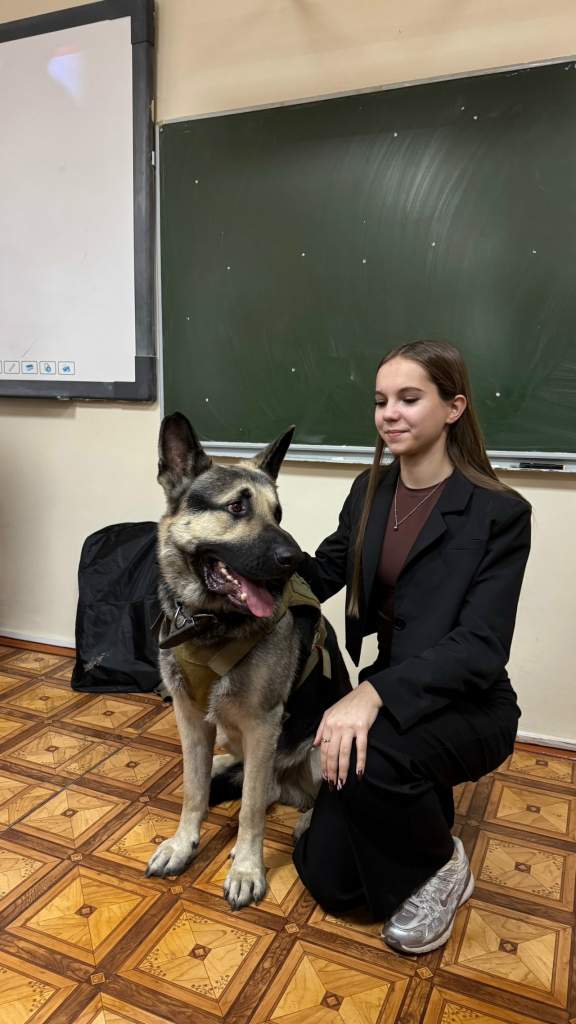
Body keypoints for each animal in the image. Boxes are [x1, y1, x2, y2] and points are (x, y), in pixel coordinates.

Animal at [145, 412, 350, 908]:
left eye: (278, 514)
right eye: (237, 507)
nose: (292, 558)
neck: (207, 621)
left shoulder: (262, 725)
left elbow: (252, 809)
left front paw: (246, 869)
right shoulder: (190, 718)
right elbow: (192, 791)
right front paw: (183, 844)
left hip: (322, 743)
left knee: (292, 793)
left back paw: (301, 818)